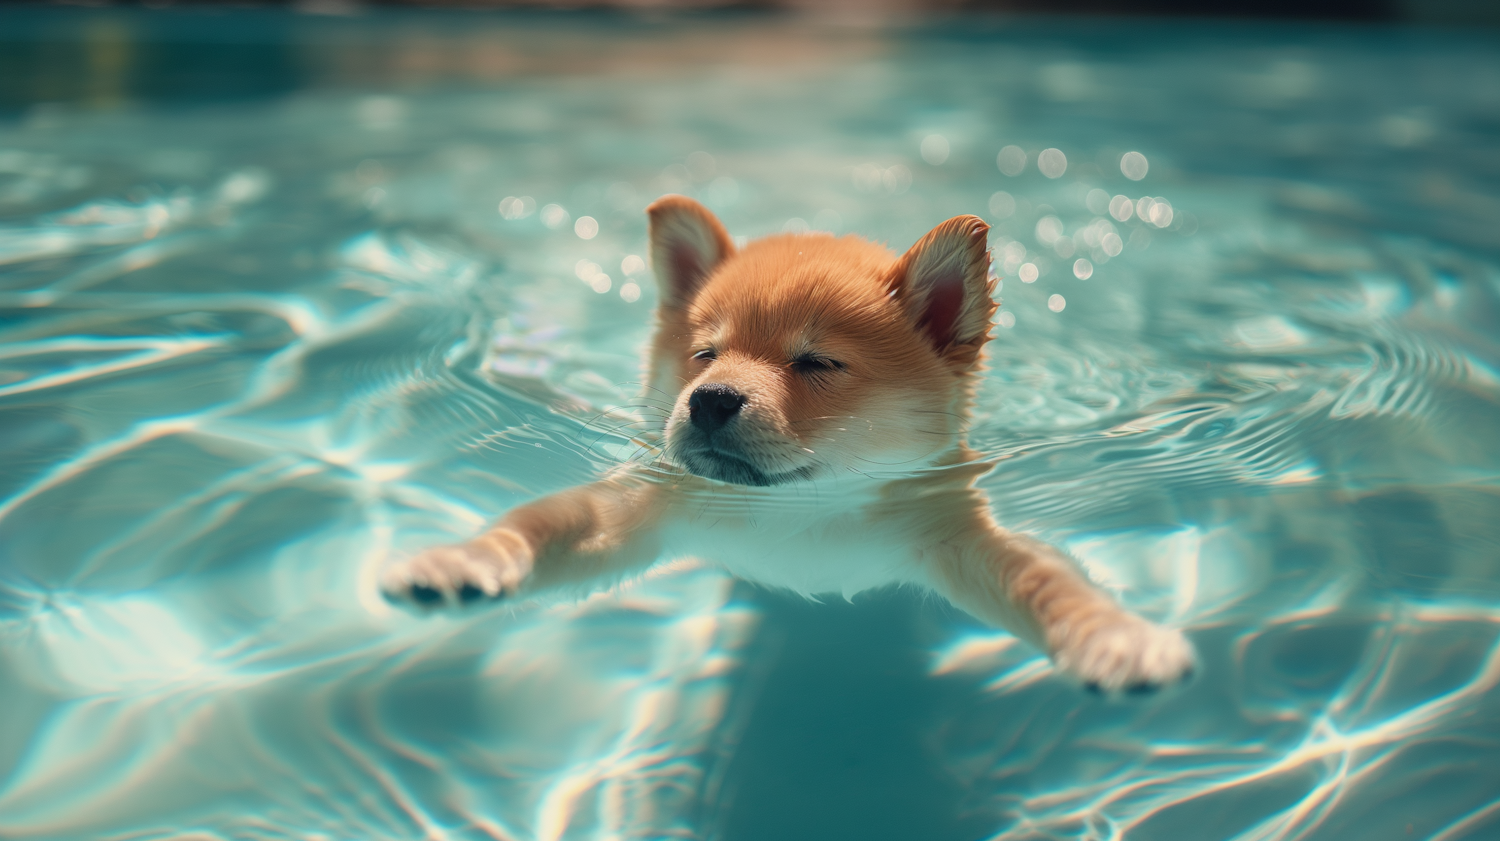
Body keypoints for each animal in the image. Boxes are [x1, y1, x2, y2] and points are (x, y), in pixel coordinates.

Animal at [384, 193, 1194, 692]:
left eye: (816, 363)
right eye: (704, 354)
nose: (709, 399)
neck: (802, 508)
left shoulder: (951, 529)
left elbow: (1045, 583)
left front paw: (1112, 637)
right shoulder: (647, 505)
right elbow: (542, 524)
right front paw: (466, 558)